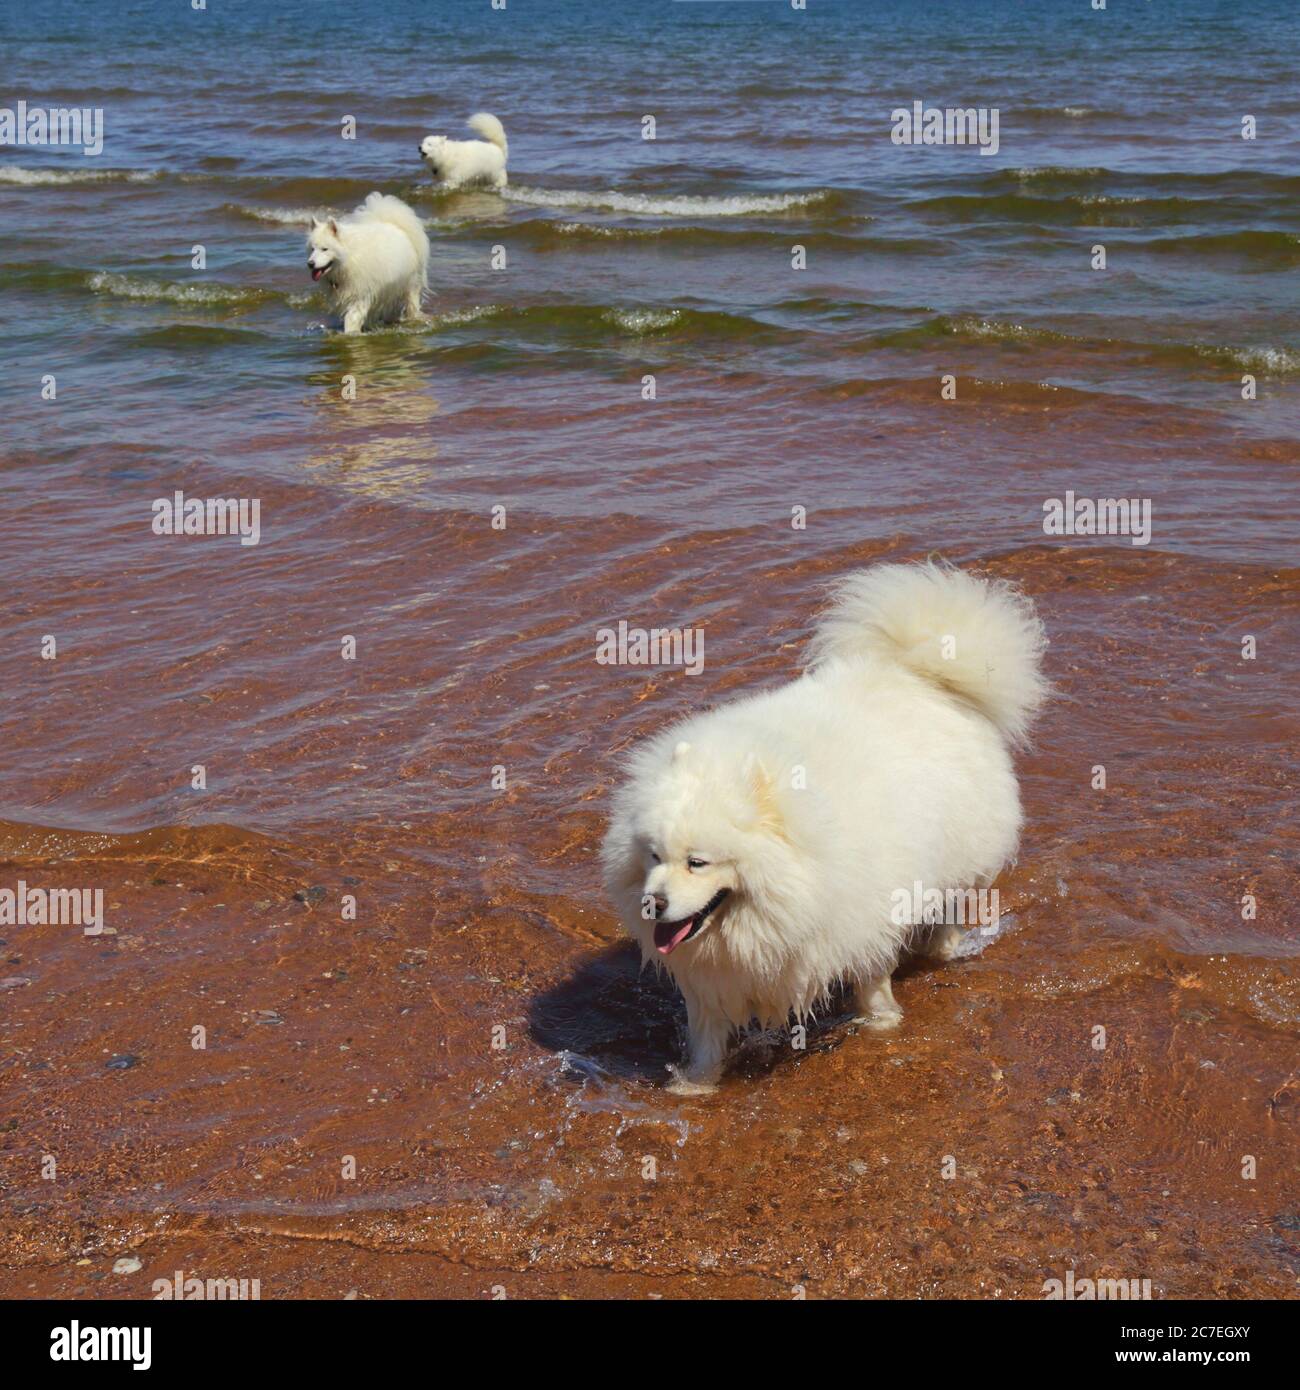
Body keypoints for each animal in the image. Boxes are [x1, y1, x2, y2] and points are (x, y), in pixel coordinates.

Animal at [303, 191, 428, 332]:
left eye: (325, 249)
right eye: (312, 249)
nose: (310, 264)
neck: (348, 259)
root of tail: (392, 224)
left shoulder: (360, 295)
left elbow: (351, 318)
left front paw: (351, 332)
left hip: (410, 284)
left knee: (411, 304)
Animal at [600, 558, 1045, 1089]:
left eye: (698, 863)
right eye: (653, 856)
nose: (653, 904)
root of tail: (916, 674)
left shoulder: (863, 915)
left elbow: (872, 986)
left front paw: (883, 1025)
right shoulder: (715, 979)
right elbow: (706, 1037)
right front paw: (693, 1086)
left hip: (959, 861)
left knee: (950, 912)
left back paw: (943, 949)